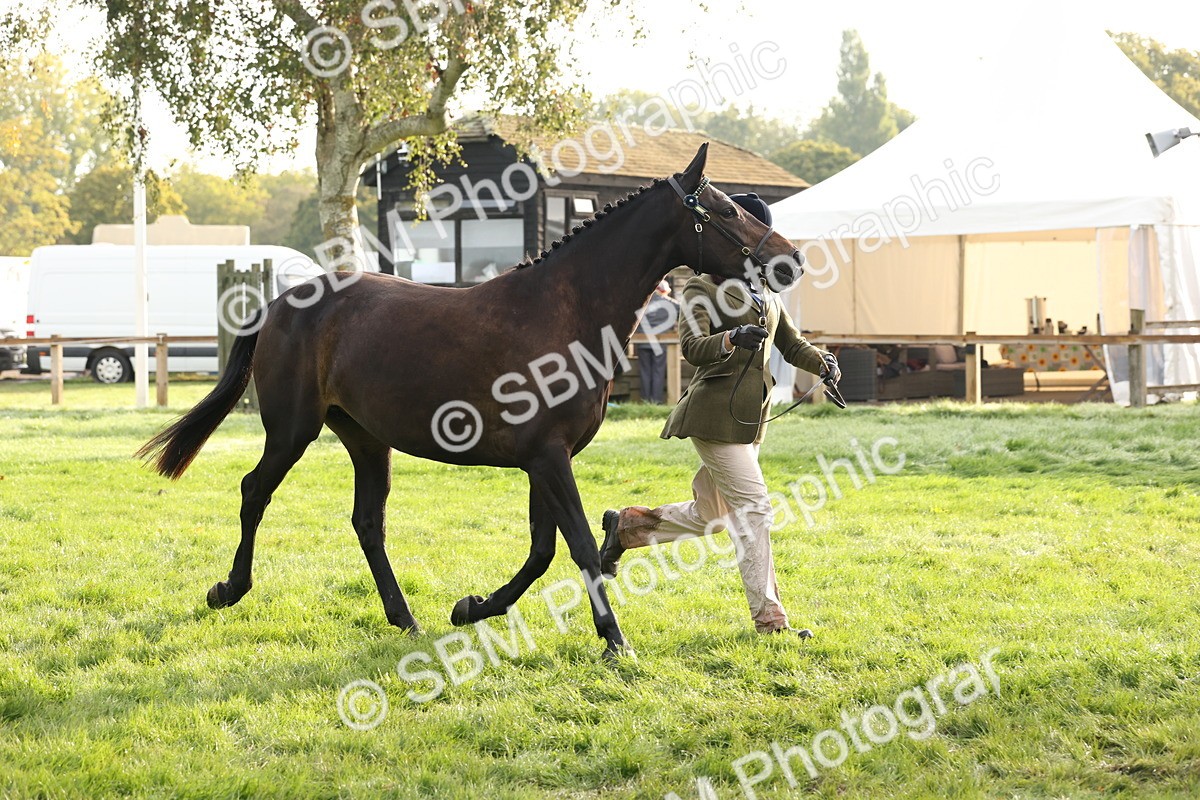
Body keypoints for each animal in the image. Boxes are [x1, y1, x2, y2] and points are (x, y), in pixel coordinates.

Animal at [137, 143, 805, 660]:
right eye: (723, 210)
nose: (791, 260)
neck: (563, 313)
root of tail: (279, 303)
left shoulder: (545, 459)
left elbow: (541, 551)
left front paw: (472, 607)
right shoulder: (548, 458)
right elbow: (578, 544)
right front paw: (615, 641)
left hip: (365, 438)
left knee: (368, 521)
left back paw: (406, 619)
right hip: (293, 428)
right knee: (256, 491)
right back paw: (229, 588)